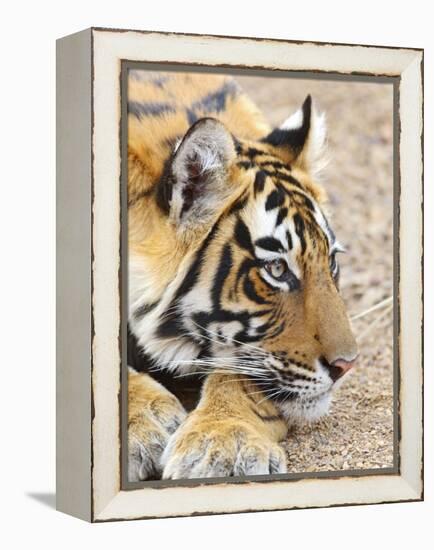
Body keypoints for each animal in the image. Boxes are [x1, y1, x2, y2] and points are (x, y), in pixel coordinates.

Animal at [127, 71, 358, 480]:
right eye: (277, 269)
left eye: (330, 260)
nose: (346, 366)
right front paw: (147, 425)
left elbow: (238, 374)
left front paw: (224, 444)